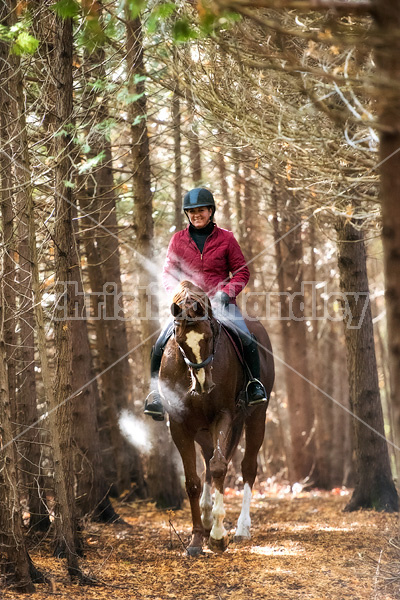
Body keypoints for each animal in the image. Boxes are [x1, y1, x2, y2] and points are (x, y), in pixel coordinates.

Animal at [159, 284, 276, 556]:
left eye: (210, 337)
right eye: (180, 342)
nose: (203, 384)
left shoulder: (223, 416)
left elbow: (219, 467)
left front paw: (218, 536)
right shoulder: (178, 424)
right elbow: (193, 480)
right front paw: (196, 540)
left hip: (256, 417)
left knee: (247, 466)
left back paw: (242, 529)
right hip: (203, 431)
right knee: (208, 460)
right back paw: (206, 515)